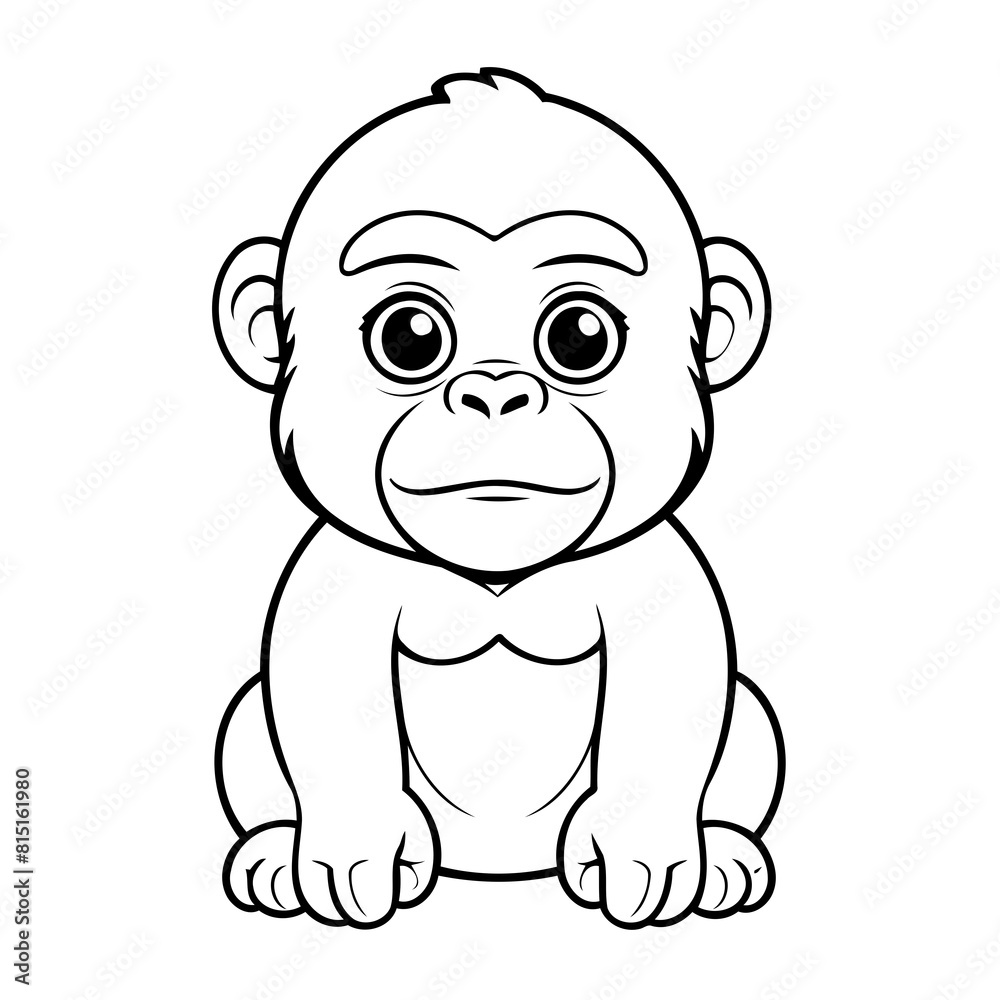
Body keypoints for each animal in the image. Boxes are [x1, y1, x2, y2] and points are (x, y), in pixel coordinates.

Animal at [212, 68, 784, 930]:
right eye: (409, 336)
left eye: (581, 335)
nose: (494, 393)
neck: (498, 581)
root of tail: (498, 867)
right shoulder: (333, 578)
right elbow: (326, 694)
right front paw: (349, 858)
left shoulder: (663, 571)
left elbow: (673, 688)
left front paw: (649, 860)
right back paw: (275, 859)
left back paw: (725, 861)